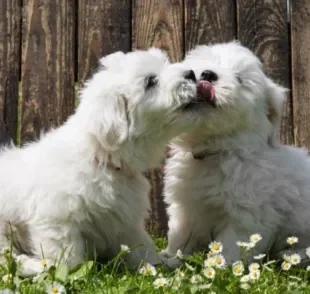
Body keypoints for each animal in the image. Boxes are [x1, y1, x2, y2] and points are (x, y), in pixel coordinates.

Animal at [0, 47, 199, 276]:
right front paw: (70, 274)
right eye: (150, 81)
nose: (191, 74)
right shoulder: (56, 219)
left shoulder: (125, 219)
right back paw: (32, 266)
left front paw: (159, 267)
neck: (101, 158)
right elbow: (68, 257)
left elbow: (141, 247)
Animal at [161, 42, 310, 266]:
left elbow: (232, 245)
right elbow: (181, 235)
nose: (207, 74)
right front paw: (170, 259)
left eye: (240, 79)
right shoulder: (186, 206)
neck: (220, 151)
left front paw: (222, 267)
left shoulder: (246, 214)